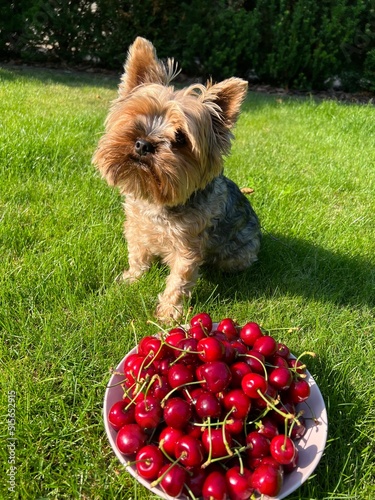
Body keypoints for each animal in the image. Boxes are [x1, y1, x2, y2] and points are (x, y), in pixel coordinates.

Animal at [93, 37, 262, 322]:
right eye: (138, 117)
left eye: (181, 138)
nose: (143, 144)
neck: (156, 200)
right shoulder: (136, 225)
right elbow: (137, 255)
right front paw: (131, 279)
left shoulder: (187, 244)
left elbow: (179, 278)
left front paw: (167, 314)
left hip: (239, 253)